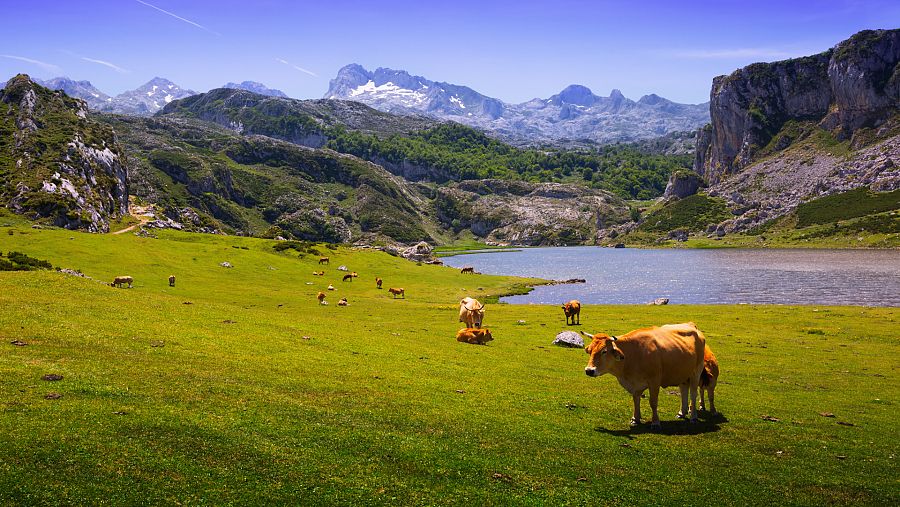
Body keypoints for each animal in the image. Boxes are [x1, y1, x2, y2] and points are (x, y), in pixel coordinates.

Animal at [580, 322, 708, 428]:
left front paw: (655, 422)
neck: (632, 354)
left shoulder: (654, 381)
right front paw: (635, 419)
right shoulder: (635, 384)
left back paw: (693, 417)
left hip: (696, 371)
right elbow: (635, 400)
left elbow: (653, 402)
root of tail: (691, 325)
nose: (589, 370)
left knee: (693, 394)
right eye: (590, 350)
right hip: (682, 373)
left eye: (604, 351)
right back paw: (681, 413)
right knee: (684, 390)